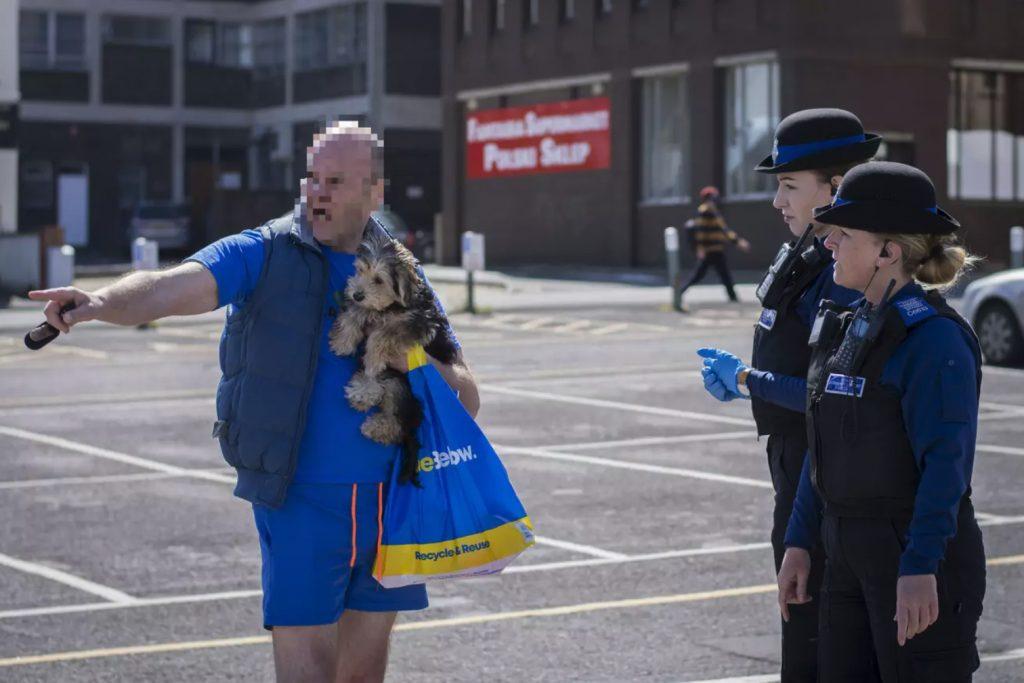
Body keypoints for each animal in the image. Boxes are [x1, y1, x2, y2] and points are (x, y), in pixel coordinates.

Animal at [329, 230, 459, 483]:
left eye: (379, 280)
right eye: (360, 270)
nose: (357, 294)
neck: (393, 306)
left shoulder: (416, 324)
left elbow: (382, 334)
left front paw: (371, 356)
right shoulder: (373, 309)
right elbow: (357, 313)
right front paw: (343, 340)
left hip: (400, 388)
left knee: (396, 424)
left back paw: (375, 422)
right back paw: (362, 392)